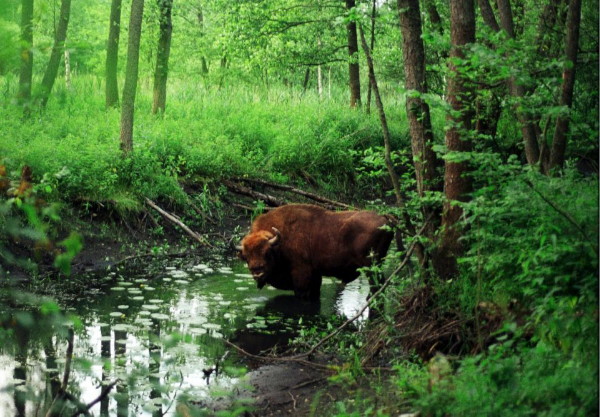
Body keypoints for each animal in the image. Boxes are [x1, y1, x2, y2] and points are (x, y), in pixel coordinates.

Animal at [237, 202, 396, 298]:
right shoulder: (315, 276)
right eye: (246, 256)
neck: (281, 241)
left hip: (371, 266)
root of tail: (384, 218)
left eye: (267, 253)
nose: (257, 272)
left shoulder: (302, 276)